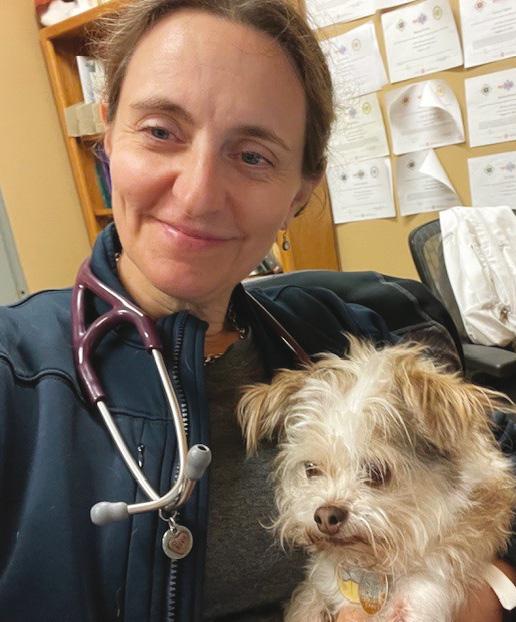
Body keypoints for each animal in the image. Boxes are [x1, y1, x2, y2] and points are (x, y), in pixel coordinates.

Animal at [237, 338, 515, 622]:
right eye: (311, 469)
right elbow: (307, 605)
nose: (325, 515)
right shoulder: (318, 586)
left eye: (377, 471)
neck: (372, 565)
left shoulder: (424, 596)